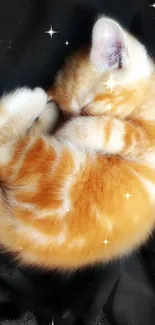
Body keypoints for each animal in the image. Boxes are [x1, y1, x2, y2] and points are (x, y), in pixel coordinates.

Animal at [0, 15, 155, 270]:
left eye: (85, 110)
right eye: (70, 113)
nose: (66, 119)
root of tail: (19, 233)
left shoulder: (149, 142)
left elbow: (122, 130)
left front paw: (72, 131)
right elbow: (123, 130)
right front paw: (65, 127)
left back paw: (40, 106)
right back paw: (35, 101)